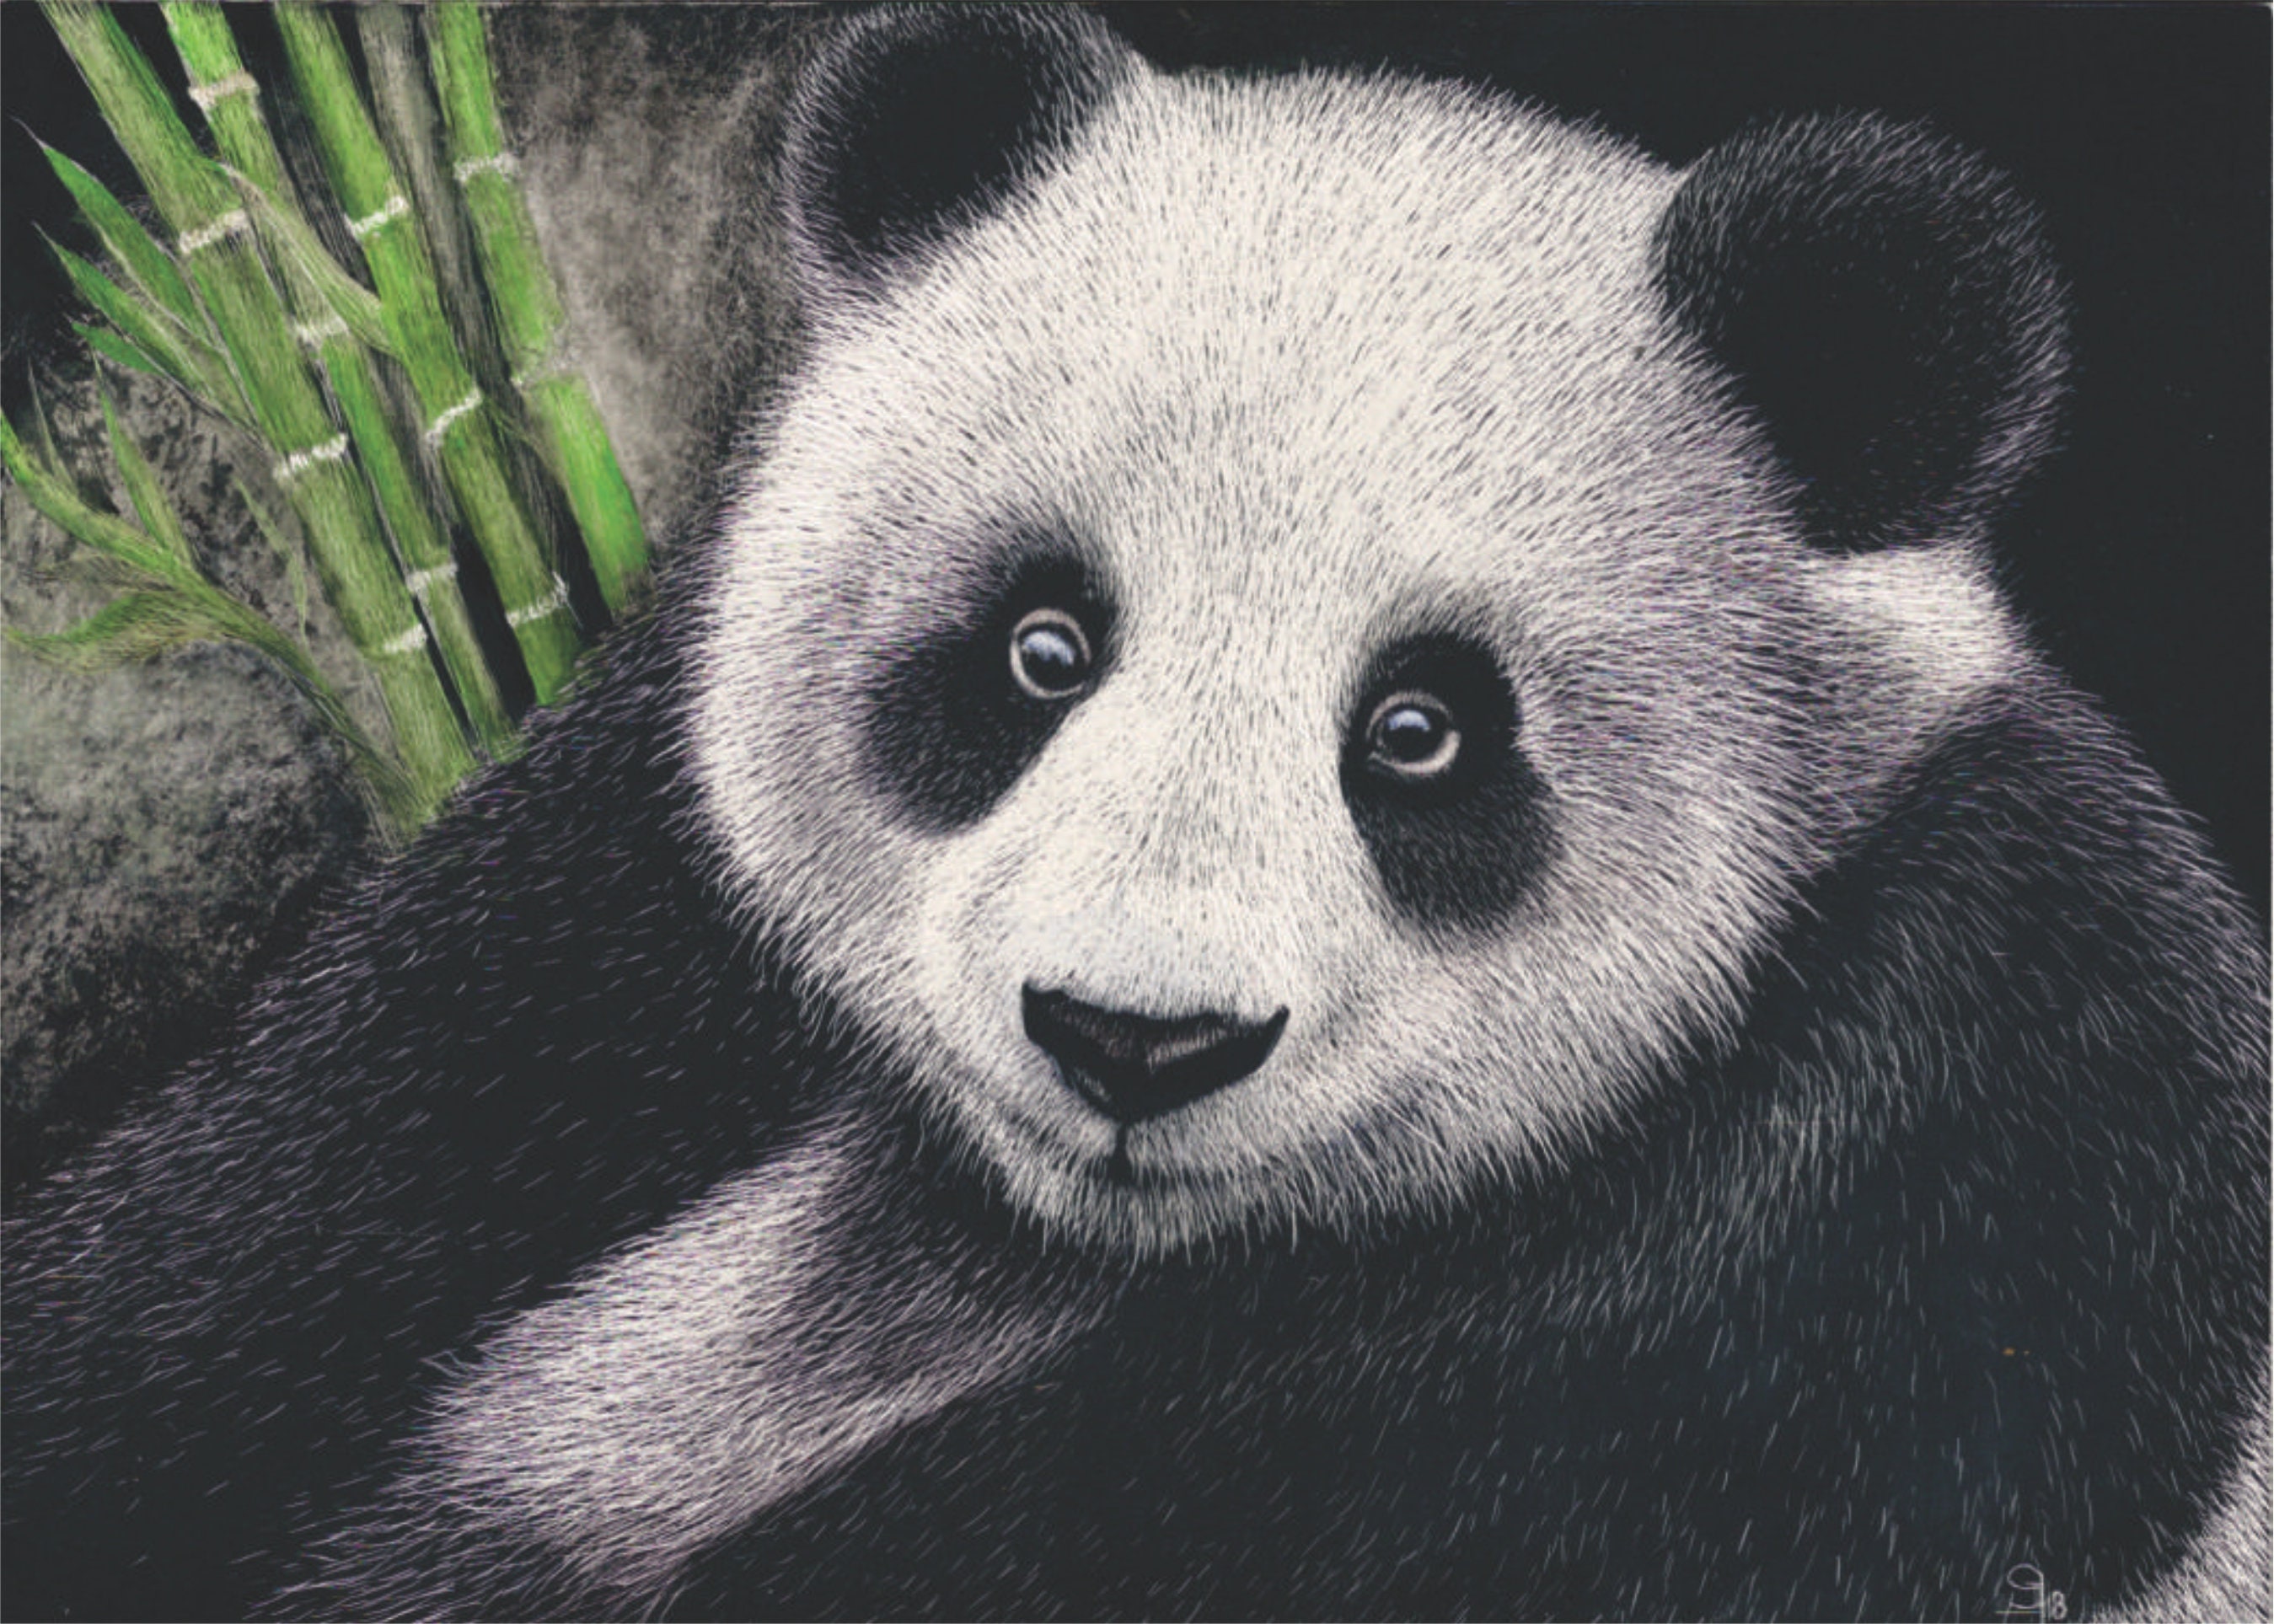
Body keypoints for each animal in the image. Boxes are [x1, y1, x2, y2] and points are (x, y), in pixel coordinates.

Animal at [3, 7, 2266, 1620]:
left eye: (1422, 732)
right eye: (1040, 645)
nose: (1131, 1039)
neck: (1033, 1243)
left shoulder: (1920, 1179)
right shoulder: (586, 938)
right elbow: (213, 1272)